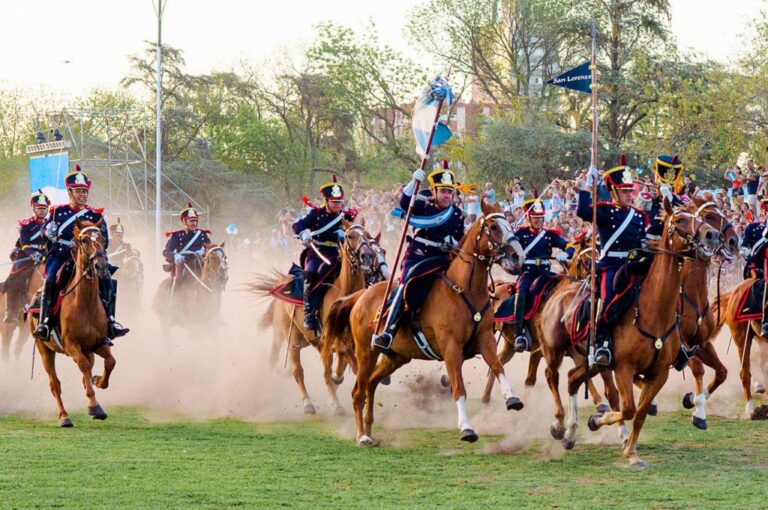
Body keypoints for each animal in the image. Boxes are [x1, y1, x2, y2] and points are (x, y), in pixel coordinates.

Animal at [27, 219, 118, 426]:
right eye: (84, 240)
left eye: (102, 238)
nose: (101, 266)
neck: (85, 302)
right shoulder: (70, 345)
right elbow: (83, 367)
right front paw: (94, 406)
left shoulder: (98, 343)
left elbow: (110, 362)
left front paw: (98, 381)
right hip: (45, 350)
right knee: (55, 384)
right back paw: (64, 417)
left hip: (87, 350)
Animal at [248, 225, 382, 416]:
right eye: (350, 236)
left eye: (368, 235)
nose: (366, 256)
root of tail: (282, 282)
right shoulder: (334, 340)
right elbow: (338, 367)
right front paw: (337, 398)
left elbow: (342, 367)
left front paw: (337, 385)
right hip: (290, 338)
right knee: (296, 370)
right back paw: (307, 403)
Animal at [320, 201, 524, 444]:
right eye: (493, 227)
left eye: (509, 224)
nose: (518, 256)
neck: (464, 289)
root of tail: (360, 296)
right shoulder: (451, 348)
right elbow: (458, 387)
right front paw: (466, 428)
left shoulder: (485, 340)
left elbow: (498, 366)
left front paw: (512, 399)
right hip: (366, 353)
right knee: (358, 392)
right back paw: (362, 436)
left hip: (396, 358)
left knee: (371, 383)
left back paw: (369, 429)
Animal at [536, 200, 720, 470]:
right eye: (679, 220)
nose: (712, 235)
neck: (653, 311)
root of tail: (559, 290)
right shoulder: (623, 369)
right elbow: (629, 408)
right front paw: (599, 424)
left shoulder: (659, 373)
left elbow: (640, 412)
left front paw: (631, 451)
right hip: (555, 351)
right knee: (553, 377)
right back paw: (559, 425)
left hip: (589, 361)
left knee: (572, 380)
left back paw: (570, 432)